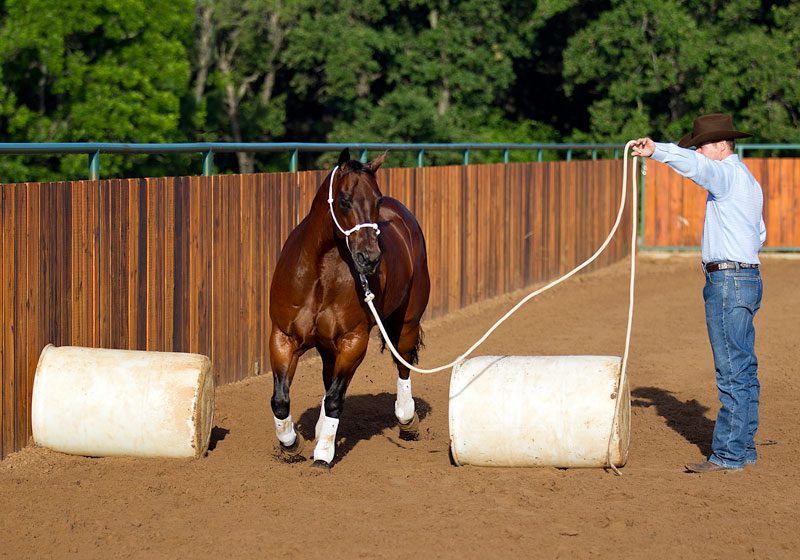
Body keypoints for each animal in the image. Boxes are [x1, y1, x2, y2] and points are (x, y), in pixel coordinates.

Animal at [268, 148, 432, 468]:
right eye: (344, 199)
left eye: (377, 199)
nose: (370, 258)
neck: (319, 275)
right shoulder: (283, 338)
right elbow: (281, 400)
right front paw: (291, 443)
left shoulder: (353, 341)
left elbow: (335, 398)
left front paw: (323, 453)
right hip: (326, 345)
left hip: (407, 322)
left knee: (403, 363)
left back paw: (407, 419)